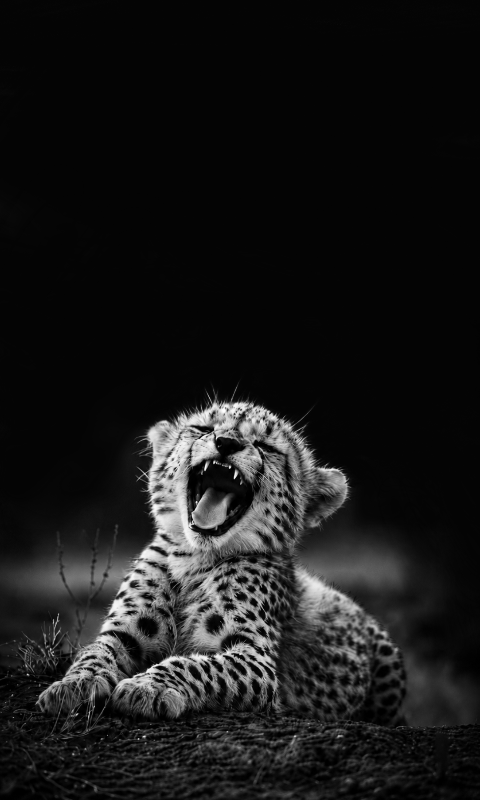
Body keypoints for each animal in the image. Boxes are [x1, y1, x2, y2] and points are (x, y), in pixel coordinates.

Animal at [38, 400, 406, 725]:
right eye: (204, 429)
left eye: (265, 445)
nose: (226, 442)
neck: (195, 558)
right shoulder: (125, 631)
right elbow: (96, 651)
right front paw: (72, 685)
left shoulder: (256, 659)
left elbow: (198, 666)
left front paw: (148, 686)